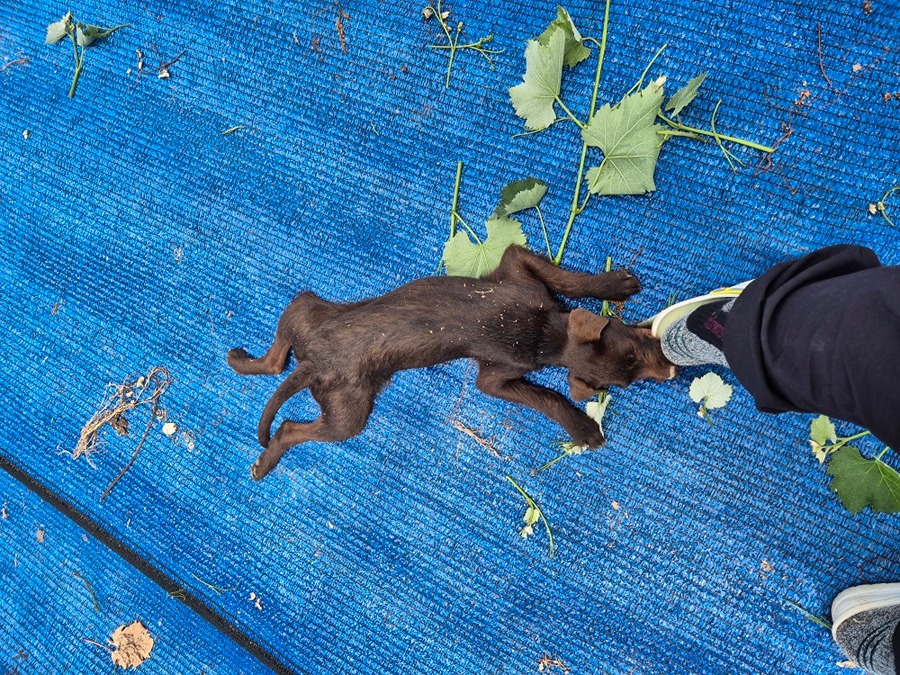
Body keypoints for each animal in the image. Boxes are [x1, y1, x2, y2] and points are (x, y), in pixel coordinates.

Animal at [229, 246, 672, 478]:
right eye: (632, 356)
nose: (670, 369)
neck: (545, 333)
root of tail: (315, 360)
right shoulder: (495, 376)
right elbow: (547, 397)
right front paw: (582, 427)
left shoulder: (520, 266)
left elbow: (568, 281)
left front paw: (611, 284)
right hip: (348, 414)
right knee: (290, 428)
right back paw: (266, 461)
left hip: (304, 306)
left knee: (275, 360)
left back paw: (240, 360)